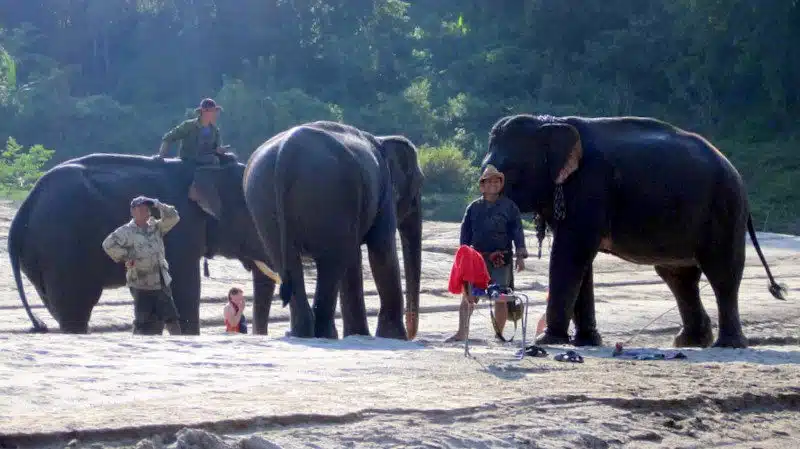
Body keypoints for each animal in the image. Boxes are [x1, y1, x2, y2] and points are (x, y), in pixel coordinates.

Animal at [8, 152, 280, 334]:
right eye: (255, 219)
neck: (207, 168)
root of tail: (24, 208)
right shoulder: (184, 231)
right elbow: (183, 290)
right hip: (61, 250)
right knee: (76, 308)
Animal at [243, 121, 423, 340]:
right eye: (421, 182)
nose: (413, 335)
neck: (382, 139)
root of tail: (288, 150)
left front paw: (363, 334)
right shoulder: (384, 191)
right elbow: (381, 248)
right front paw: (393, 337)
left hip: (265, 203)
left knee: (289, 261)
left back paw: (302, 333)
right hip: (331, 196)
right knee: (333, 261)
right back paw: (324, 334)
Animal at [482, 114, 787, 349]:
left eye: (508, 170)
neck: (550, 121)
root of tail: (735, 172)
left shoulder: (589, 187)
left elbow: (571, 253)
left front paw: (549, 341)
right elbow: (580, 260)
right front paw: (586, 342)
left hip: (725, 209)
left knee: (721, 271)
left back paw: (726, 345)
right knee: (678, 276)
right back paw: (689, 342)